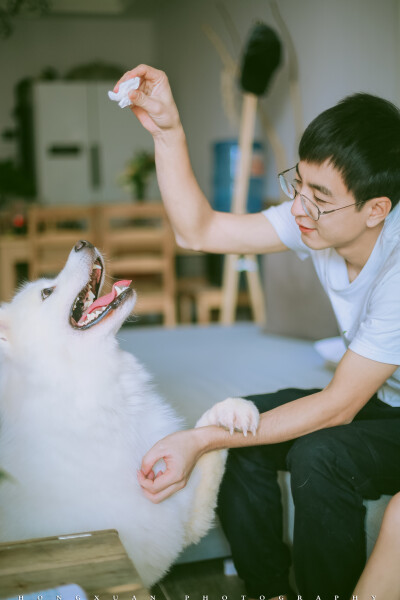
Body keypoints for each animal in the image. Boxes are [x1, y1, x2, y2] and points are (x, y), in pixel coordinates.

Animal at [0, 239, 260, 584]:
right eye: (46, 292)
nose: (82, 242)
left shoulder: (180, 508)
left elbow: (204, 443)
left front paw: (233, 410)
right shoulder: (153, 537)